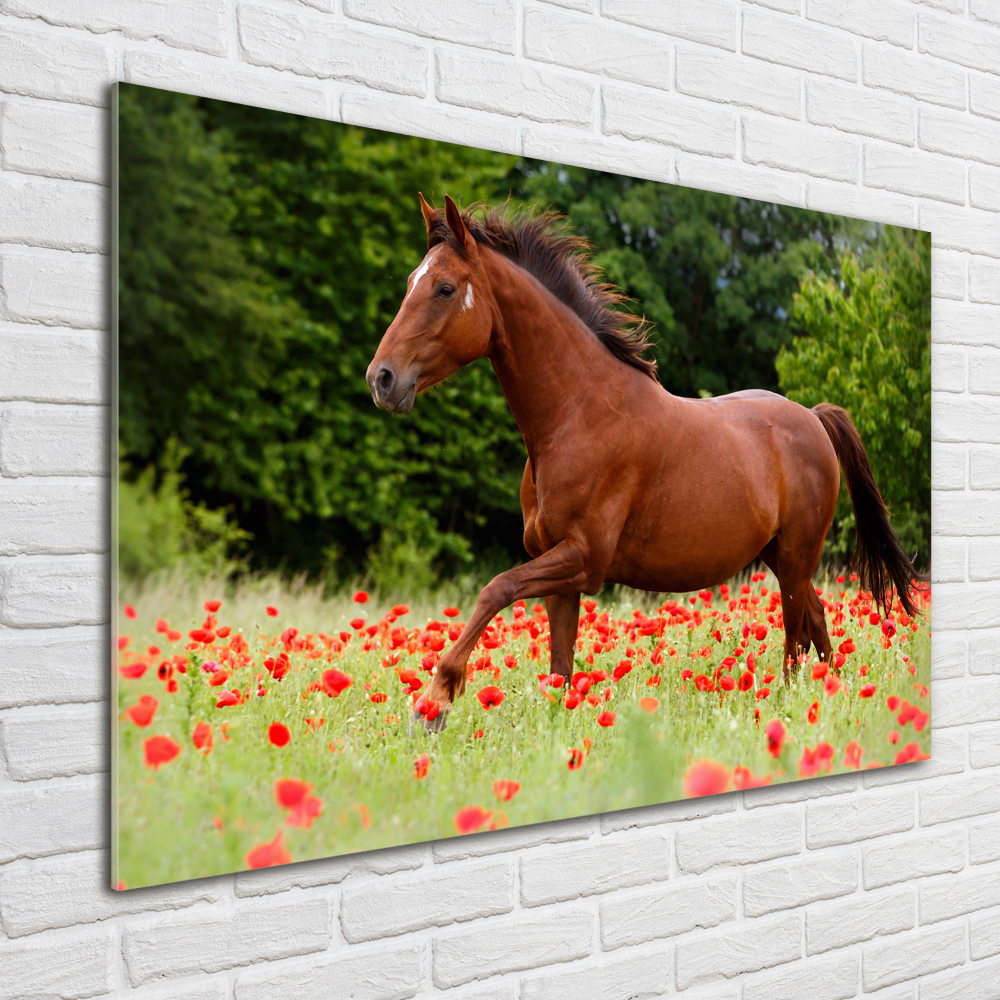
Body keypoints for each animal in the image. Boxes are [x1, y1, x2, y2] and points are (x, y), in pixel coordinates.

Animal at [368, 193, 920, 736]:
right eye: (413, 282)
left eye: (444, 288)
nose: (382, 379)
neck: (577, 414)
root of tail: (813, 418)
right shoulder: (559, 571)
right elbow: (560, 672)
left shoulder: (583, 558)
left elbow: (494, 590)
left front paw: (432, 704)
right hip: (782, 556)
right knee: (817, 623)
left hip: (796, 556)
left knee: (794, 638)